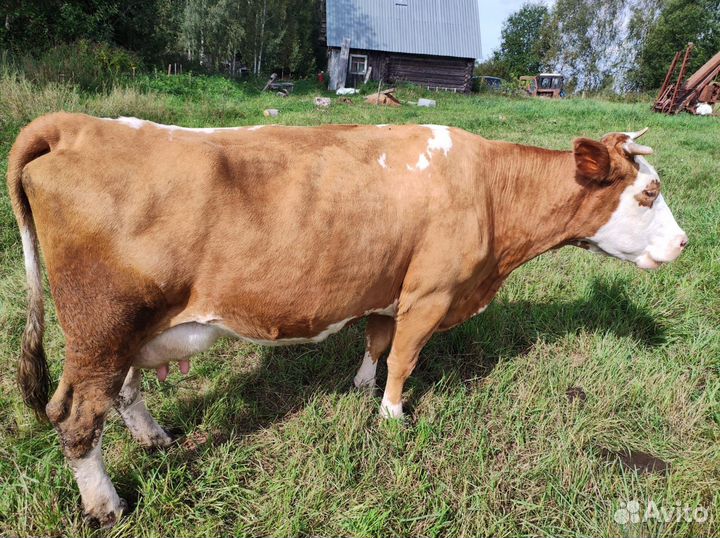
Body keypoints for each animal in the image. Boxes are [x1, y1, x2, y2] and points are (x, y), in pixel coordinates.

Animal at [8, 113, 687, 526]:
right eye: (648, 194)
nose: (684, 243)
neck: (489, 191)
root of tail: (76, 125)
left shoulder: (388, 290)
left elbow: (378, 342)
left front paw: (361, 386)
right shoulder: (430, 293)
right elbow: (406, 357)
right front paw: (391, 416)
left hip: (125, 332)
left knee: (122, 393)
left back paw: (154, 439)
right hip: (100, 327)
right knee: (76, 418)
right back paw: (106, 505)